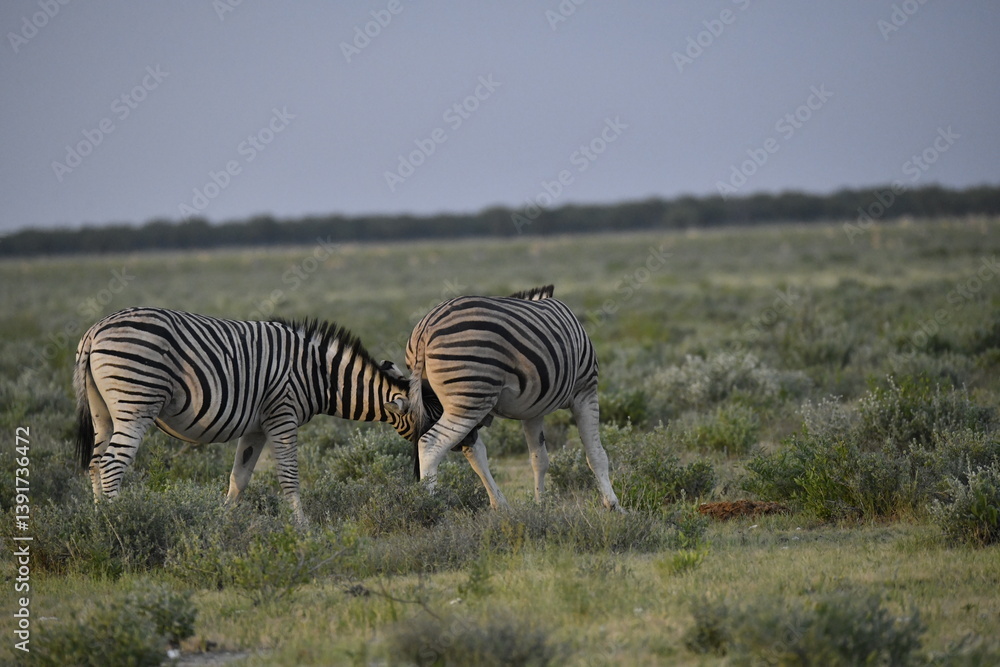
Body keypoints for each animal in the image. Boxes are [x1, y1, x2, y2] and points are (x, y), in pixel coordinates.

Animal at [74, 307, 417, 524]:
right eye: (425, 415)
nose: (418, 473)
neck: (317, 374)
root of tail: (94, 330)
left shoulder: (257, 427)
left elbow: (239, 478)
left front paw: (223, 523)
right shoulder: (282, 414)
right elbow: (289, 475)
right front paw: (303, 527)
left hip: (102, 413)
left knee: (95, 463)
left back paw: (98, 522)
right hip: (136, 403)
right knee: (112, 464)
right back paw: (122, 520)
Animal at [387, 285, 621, 511]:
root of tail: (425, 328)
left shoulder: (533, 411)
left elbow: (539, 459)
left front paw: (541, 505)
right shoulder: (585, 391)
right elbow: (596, 454)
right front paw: (613, 505)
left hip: (455, 400)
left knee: (471, 450)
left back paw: (499, 505)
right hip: (471, 396)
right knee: (431, 445)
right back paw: (428, 506)